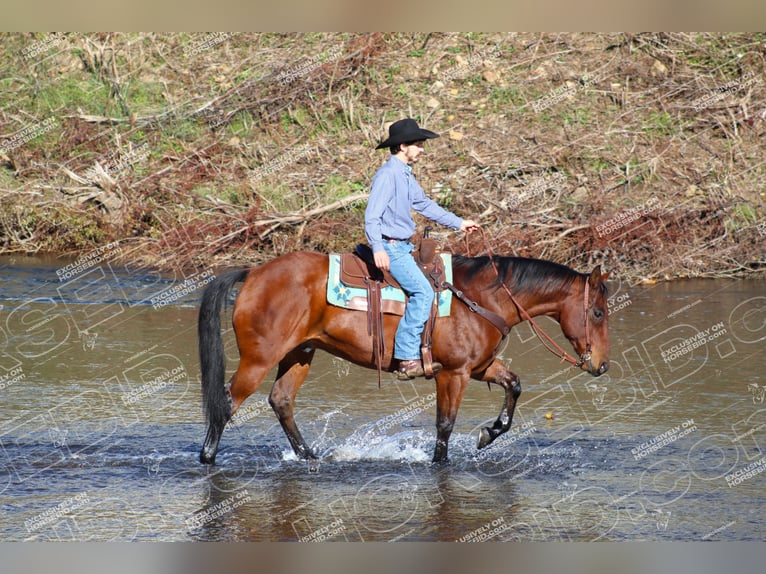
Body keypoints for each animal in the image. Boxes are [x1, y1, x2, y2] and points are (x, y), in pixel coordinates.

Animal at [198, 254, 612, 466]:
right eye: (597, 313)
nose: (602, 365)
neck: (481, 299)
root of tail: (254, 273)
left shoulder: (478, 368)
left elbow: (514, 385)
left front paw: (488, 434)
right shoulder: (454, 373)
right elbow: (444, 424)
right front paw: (441, 463)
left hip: (299, 354)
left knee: (281, 400)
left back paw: (311, 456)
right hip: (259, 358)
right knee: (227, 403)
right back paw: (207, 458)